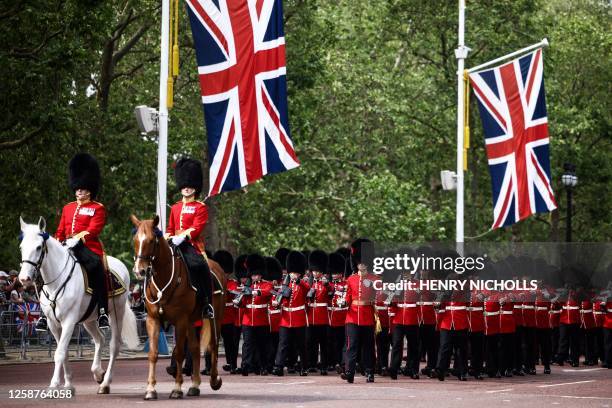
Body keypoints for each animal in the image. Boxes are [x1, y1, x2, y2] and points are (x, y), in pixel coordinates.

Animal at [19, 217, 140, 396]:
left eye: (39, 247)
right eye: (21, 247)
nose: (24, 278)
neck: (56, 281)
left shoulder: (69, 321)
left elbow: (60, 353)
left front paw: (54, 385)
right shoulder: (53, 324)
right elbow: (64, 352)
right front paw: (68, 384)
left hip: (116, 312)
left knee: (114, 345)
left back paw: (105, 383)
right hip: (88, 319)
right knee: (99, 339)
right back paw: (98, 373)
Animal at [130, 215, 226, 400]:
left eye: (151, 241)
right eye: (135, 240)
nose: (140, 271)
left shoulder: (180, 320)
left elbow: (180, 352)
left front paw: (177, 388)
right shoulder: (153, 319)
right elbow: (153, 353)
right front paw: (150, 389)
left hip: (215, 317)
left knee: (213, 345)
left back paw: (214, 380)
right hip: (192, 321)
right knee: (195, 349)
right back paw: (195, 385)